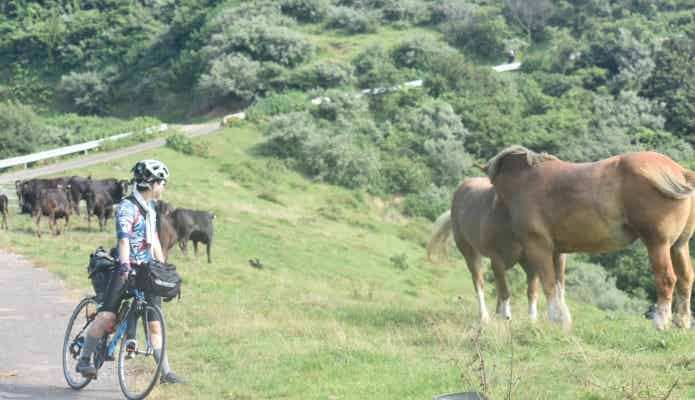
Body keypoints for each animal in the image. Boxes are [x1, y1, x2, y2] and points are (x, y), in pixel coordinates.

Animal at [427, 177, 567, 324]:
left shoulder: (530, 261)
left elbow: (531, 291)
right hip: (471, 253)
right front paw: (507, 318)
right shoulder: (497, 258)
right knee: (479, 282)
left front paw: (532, 320)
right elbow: (505, 290)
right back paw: (485, 316)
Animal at [485, 145, 695, 330]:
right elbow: (559, 286)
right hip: (679, 245)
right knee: (685, 278)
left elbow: (549, 285)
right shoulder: (557, 252)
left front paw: (555, 320)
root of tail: (681, 172)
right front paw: (563, 321)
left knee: (667, 279)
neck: (524, 182)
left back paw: (661, 322)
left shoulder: (539, 248)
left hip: (658, 244)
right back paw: (682, 323)